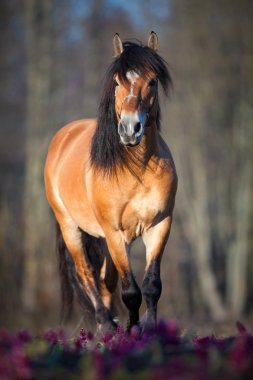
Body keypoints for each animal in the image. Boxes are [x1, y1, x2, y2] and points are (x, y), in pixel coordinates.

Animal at [44, 31, 178, 332]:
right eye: (117, 81)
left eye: (152, 81)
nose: (130, 129)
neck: (137, 169)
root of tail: (63, 137)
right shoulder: (116, 233)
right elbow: (131, 291)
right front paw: (132, 331)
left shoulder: (160, 225)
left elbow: (151, 286)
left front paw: (150, 330)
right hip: (71, 227)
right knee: (86, 274)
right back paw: (105, 323)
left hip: (103, 238)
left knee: (106, 280)